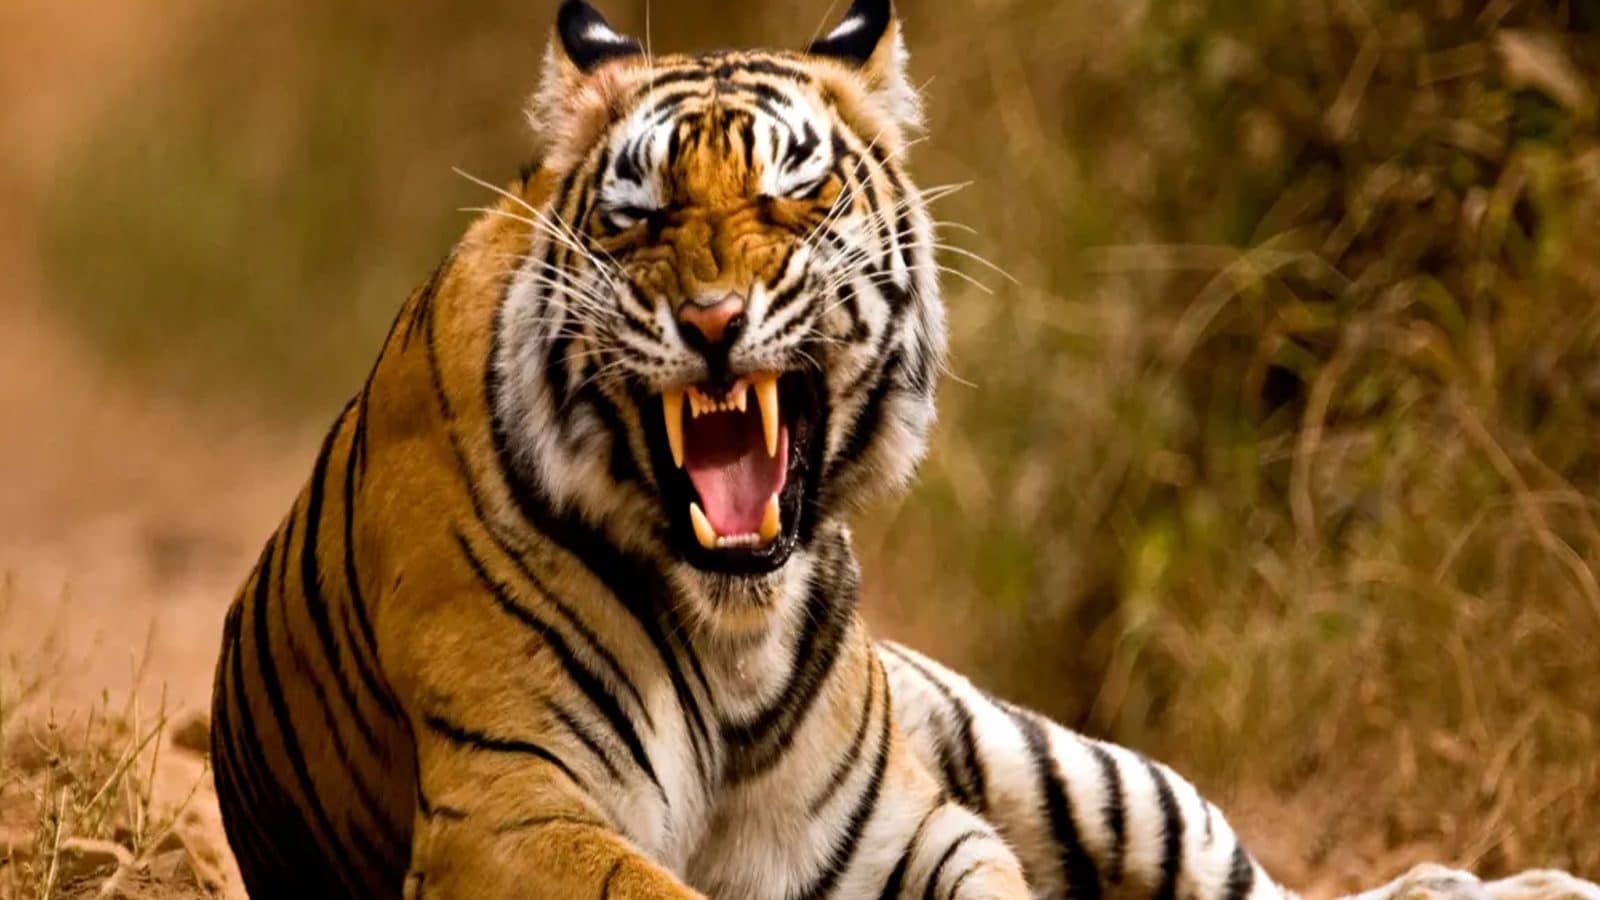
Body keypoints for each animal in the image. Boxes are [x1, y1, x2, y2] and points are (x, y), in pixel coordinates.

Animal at [207, 1, 1600, 898]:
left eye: (794, 193)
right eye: (638, 215)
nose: (711, 321)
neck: (731, 632)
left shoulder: (899, 830)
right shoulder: (509, 809)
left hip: (1071, 768)